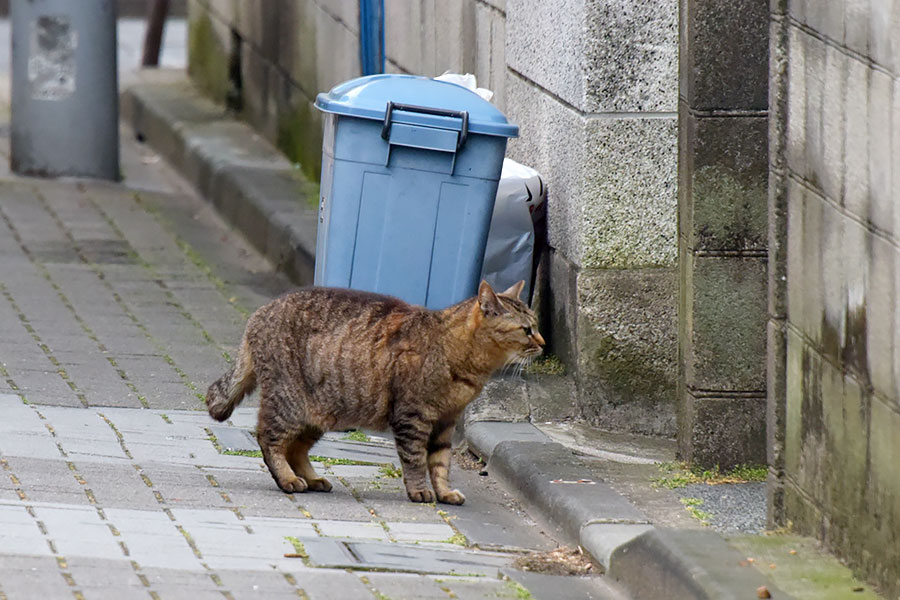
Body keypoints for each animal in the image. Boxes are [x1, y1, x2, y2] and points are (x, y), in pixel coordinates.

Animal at [206, 278, 540, 504]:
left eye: (536, 325)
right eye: (526, 330)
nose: (544, 342)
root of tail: (259, 313)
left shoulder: (446, 421)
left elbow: (440, 463)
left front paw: (444, 492)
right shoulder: (413, 416)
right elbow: (416, 460)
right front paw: (420, 491)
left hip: (319, 413)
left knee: (296, 449)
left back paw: (311, 478)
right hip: (289, 403)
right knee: (269, 439)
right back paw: (288, 479)